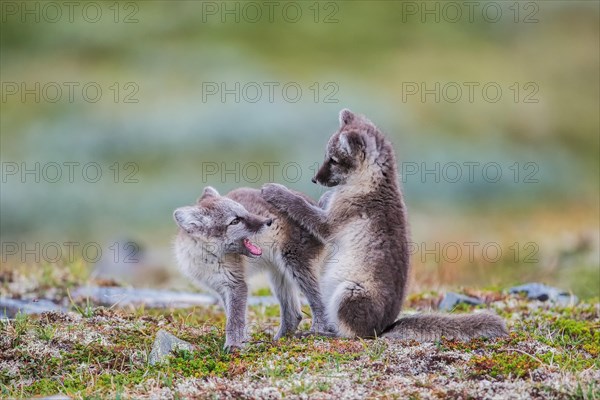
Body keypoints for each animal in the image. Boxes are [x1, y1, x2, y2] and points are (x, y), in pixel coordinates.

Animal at [173, 186, 332, 348]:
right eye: (235, 221)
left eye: (245, 211)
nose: (269, 221)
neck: (208, 257)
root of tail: (317, 207)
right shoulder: (222, 288)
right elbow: (233, 317)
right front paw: (243, 342)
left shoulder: (237, 284)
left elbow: (235, 320)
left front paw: (234, 347)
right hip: (279, 276)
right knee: (294, 315)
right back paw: (279, 341)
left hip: (296, 265)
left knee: (318, 303)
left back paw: (317, 332)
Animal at [262, 109, 506, 340]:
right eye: (326, 156)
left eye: (333, 159)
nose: (314, 179)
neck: (372, 182)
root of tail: (385, 326)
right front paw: (321, 197)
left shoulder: (331, 224)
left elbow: (302, 208)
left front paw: (276, 192)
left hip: (349, 292)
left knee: (353, 334)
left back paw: (320, 333)